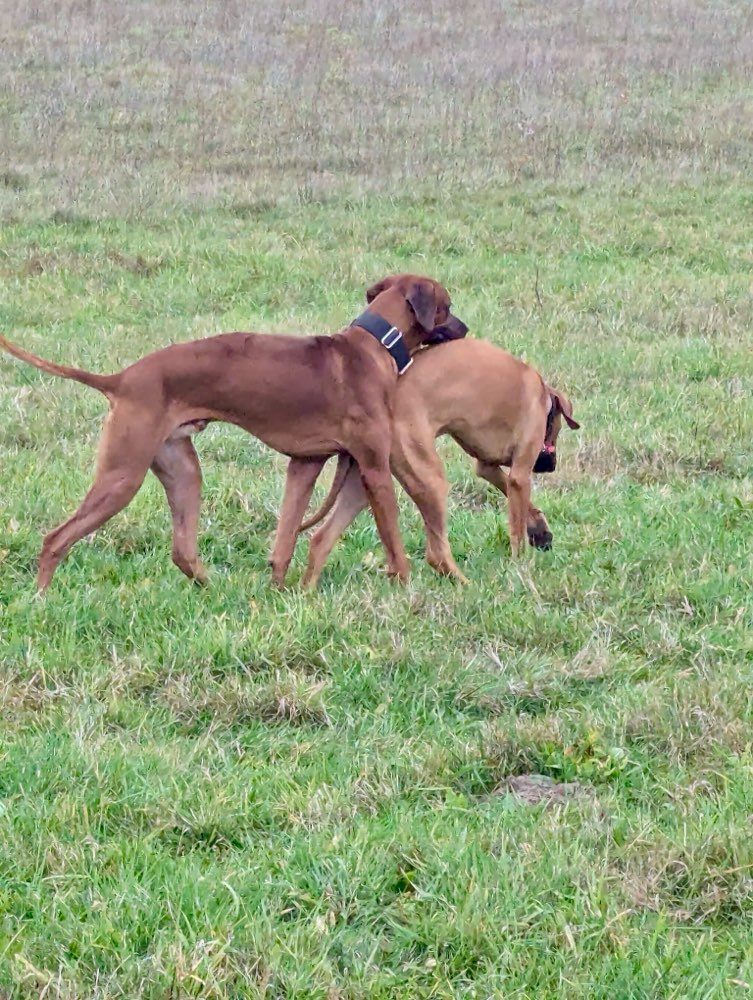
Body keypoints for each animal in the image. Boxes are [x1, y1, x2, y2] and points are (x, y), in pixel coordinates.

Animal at [0, 274, 464, 588]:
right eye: (447, 305)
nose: (466, 330)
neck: (374, 344)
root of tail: (121, 379)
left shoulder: (305, 464)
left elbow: (285, 540)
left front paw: (279, 591)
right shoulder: (374, 468)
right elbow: (394, 540)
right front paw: (406, 586)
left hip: (183, 472)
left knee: (183, 552)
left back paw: (214, 591)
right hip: (122, 477)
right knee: (56, 539)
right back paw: (42, 597)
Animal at [274, 338, 576, 584]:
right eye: (556, 431)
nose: (550, 466)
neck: (542, 395)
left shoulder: (488, 467)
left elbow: (522, 504)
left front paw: (540, 530)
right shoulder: (520, 475)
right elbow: (517, 523)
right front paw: (521, 564)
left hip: (365, 482)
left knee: (321, 538)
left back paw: (307, 590)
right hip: (428, 477)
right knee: (436, 553)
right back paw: (465, 585)